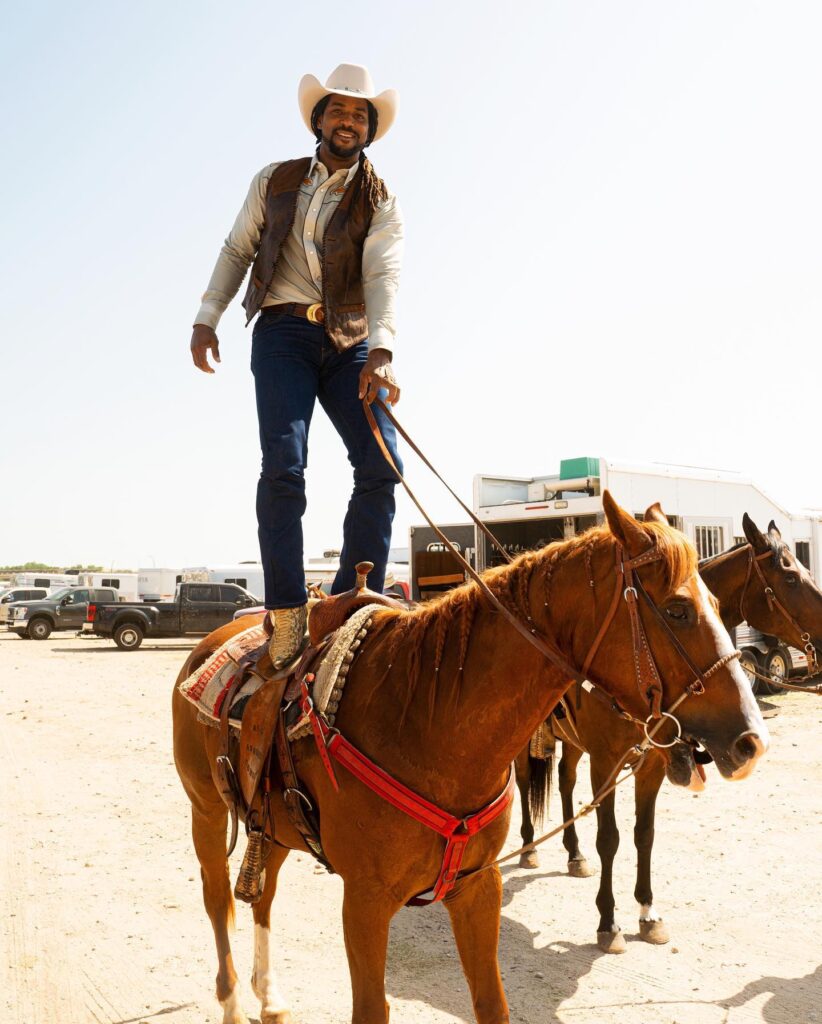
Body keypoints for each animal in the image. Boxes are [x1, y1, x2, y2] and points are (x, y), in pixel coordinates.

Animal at [175, 491, 769, 1019]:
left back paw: (271, 1000)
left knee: (263, 896)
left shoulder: (478, 887)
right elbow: (371, 1008)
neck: (426, 722)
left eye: (719, 605)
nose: (751, 741)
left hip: (270, 828)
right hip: (206, 811)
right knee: (218, 901)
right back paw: (234, 1002)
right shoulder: (365, 902)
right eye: (678, 609)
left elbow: (492, 1004)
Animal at [513, 509, 822, 950]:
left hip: (572, 742)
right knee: (525, 782)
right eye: (791, 577)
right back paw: (527, 847)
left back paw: (574, 854)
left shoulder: (652, 763)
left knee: (565, 780)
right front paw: (608, 921)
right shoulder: (606, 761)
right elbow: (609, 838)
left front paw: (648, 912)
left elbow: (645, 834)